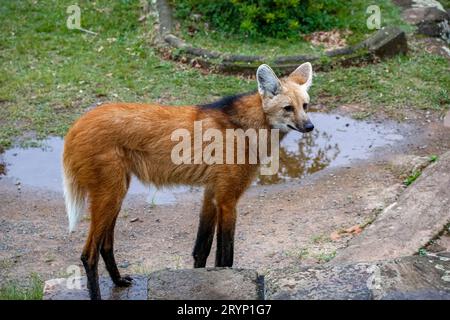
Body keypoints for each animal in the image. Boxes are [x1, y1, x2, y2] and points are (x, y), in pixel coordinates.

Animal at [62, 63, 312, 300]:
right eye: (288, 108)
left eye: (305, 106)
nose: (310, 127)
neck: (245, 128)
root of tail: (76, 124)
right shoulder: (227, 200)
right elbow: (226, 257)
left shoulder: (212, 193)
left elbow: (201, 250)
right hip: (110, 194)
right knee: (88, 254)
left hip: (116, 192)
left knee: (105, 244)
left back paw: (118, 281)